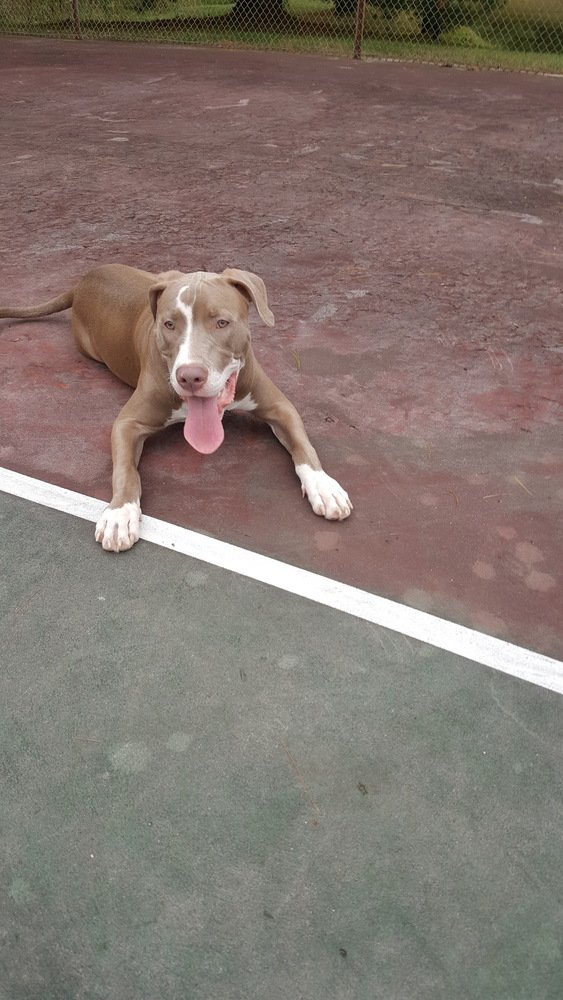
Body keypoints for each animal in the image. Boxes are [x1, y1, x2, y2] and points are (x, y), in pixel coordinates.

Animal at [0, 264, 352, 551]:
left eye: (222, 322)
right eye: (169, 325)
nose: (190, 376)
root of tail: (83, 281)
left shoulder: (279, 407)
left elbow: (304, 447)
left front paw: (324, 486)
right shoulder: (128, 422)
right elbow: (125, 471)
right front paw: (120, 514)